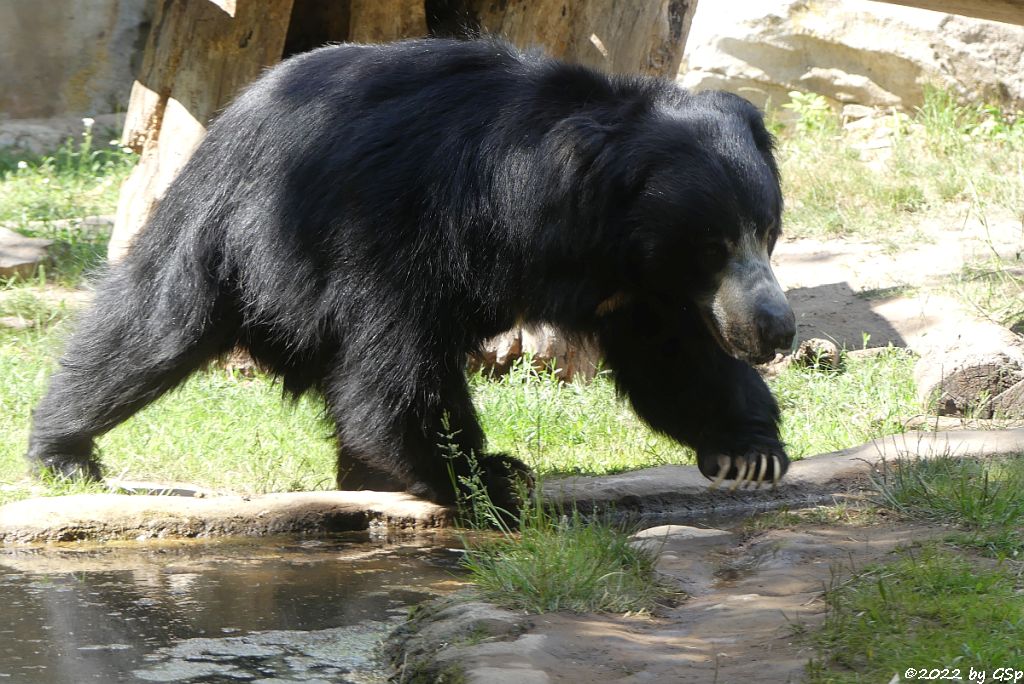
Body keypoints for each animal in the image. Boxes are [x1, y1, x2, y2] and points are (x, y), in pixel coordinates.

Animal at [22, 37, 790, 507]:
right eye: (713, 245)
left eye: (767, 234)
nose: (776, 329)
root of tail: (240, 106)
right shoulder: (392, 227)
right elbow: (393, 367)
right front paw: (487, 478)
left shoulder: (638, 284)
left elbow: (673, 357)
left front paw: (750, 453)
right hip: (235, 228)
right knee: (152, 328)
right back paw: (63, 453)